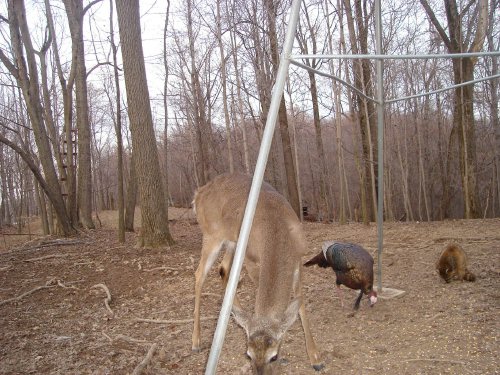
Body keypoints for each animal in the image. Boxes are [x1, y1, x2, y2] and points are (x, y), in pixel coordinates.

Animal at [189, 173, 322, 374]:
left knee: (223, 269)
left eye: (274, 356)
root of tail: (198, 194)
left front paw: (315, 357)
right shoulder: (251, 260)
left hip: (232, 242)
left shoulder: (298, 258)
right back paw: (196, 341)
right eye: (248, 355)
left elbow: (300, 304)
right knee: (199, 274)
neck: (278, 231)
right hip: (212, 235)